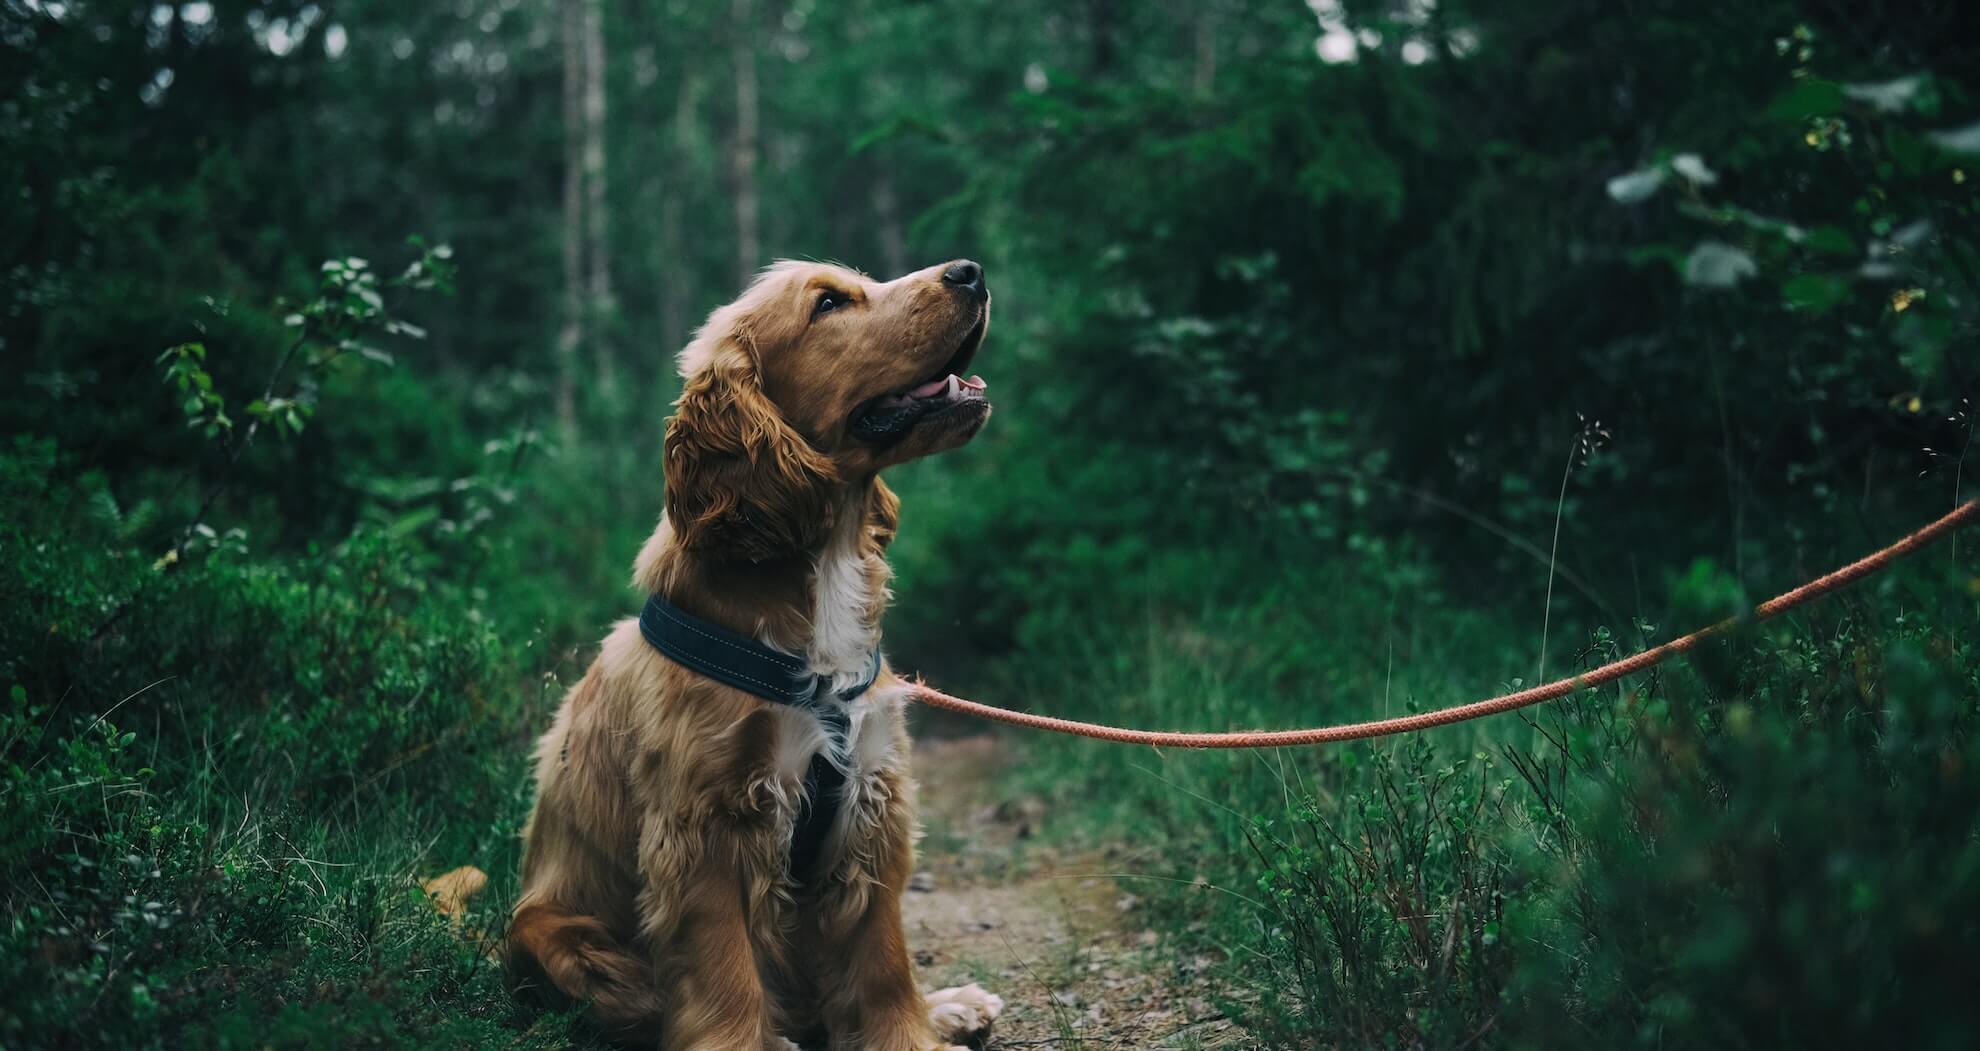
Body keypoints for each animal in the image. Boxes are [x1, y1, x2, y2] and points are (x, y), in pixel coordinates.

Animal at [510, 261, 1005, 1051]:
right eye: (828, 303)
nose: (971, 270)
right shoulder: (705, 825)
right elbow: (724, 973)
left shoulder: (871, 798)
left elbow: (882, 959)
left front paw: (911, 1030)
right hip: (552, 932)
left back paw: (951, 1004)